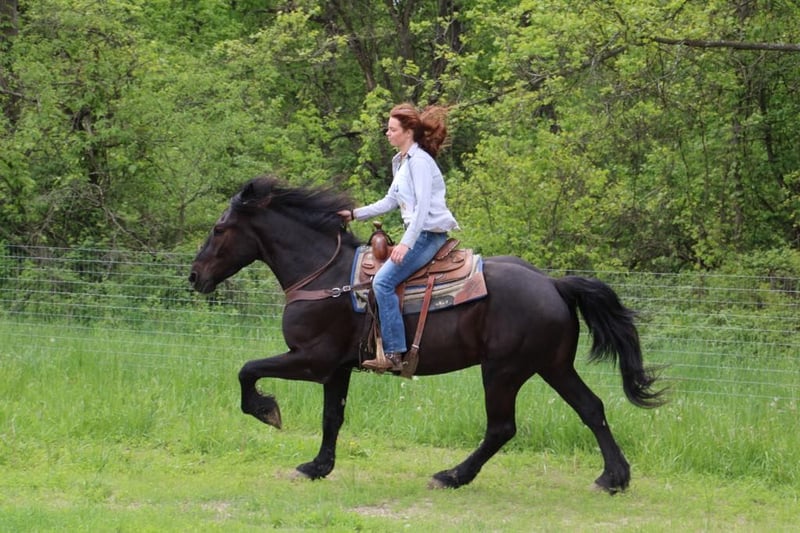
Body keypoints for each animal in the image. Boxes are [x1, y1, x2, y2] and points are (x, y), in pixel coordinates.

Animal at [188, 175, 664, 492]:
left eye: (218, 229)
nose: (194, 276)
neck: (326, 276)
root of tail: (553, 284)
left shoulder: (311, 359)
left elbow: (248, 370)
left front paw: (267, 410)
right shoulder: (337, 369)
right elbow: (331, 418)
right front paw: (317, 466)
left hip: (503, 371)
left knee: (502, 428)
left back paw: (453, 475)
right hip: (553, 366)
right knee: (591, 408)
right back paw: (614, 478)